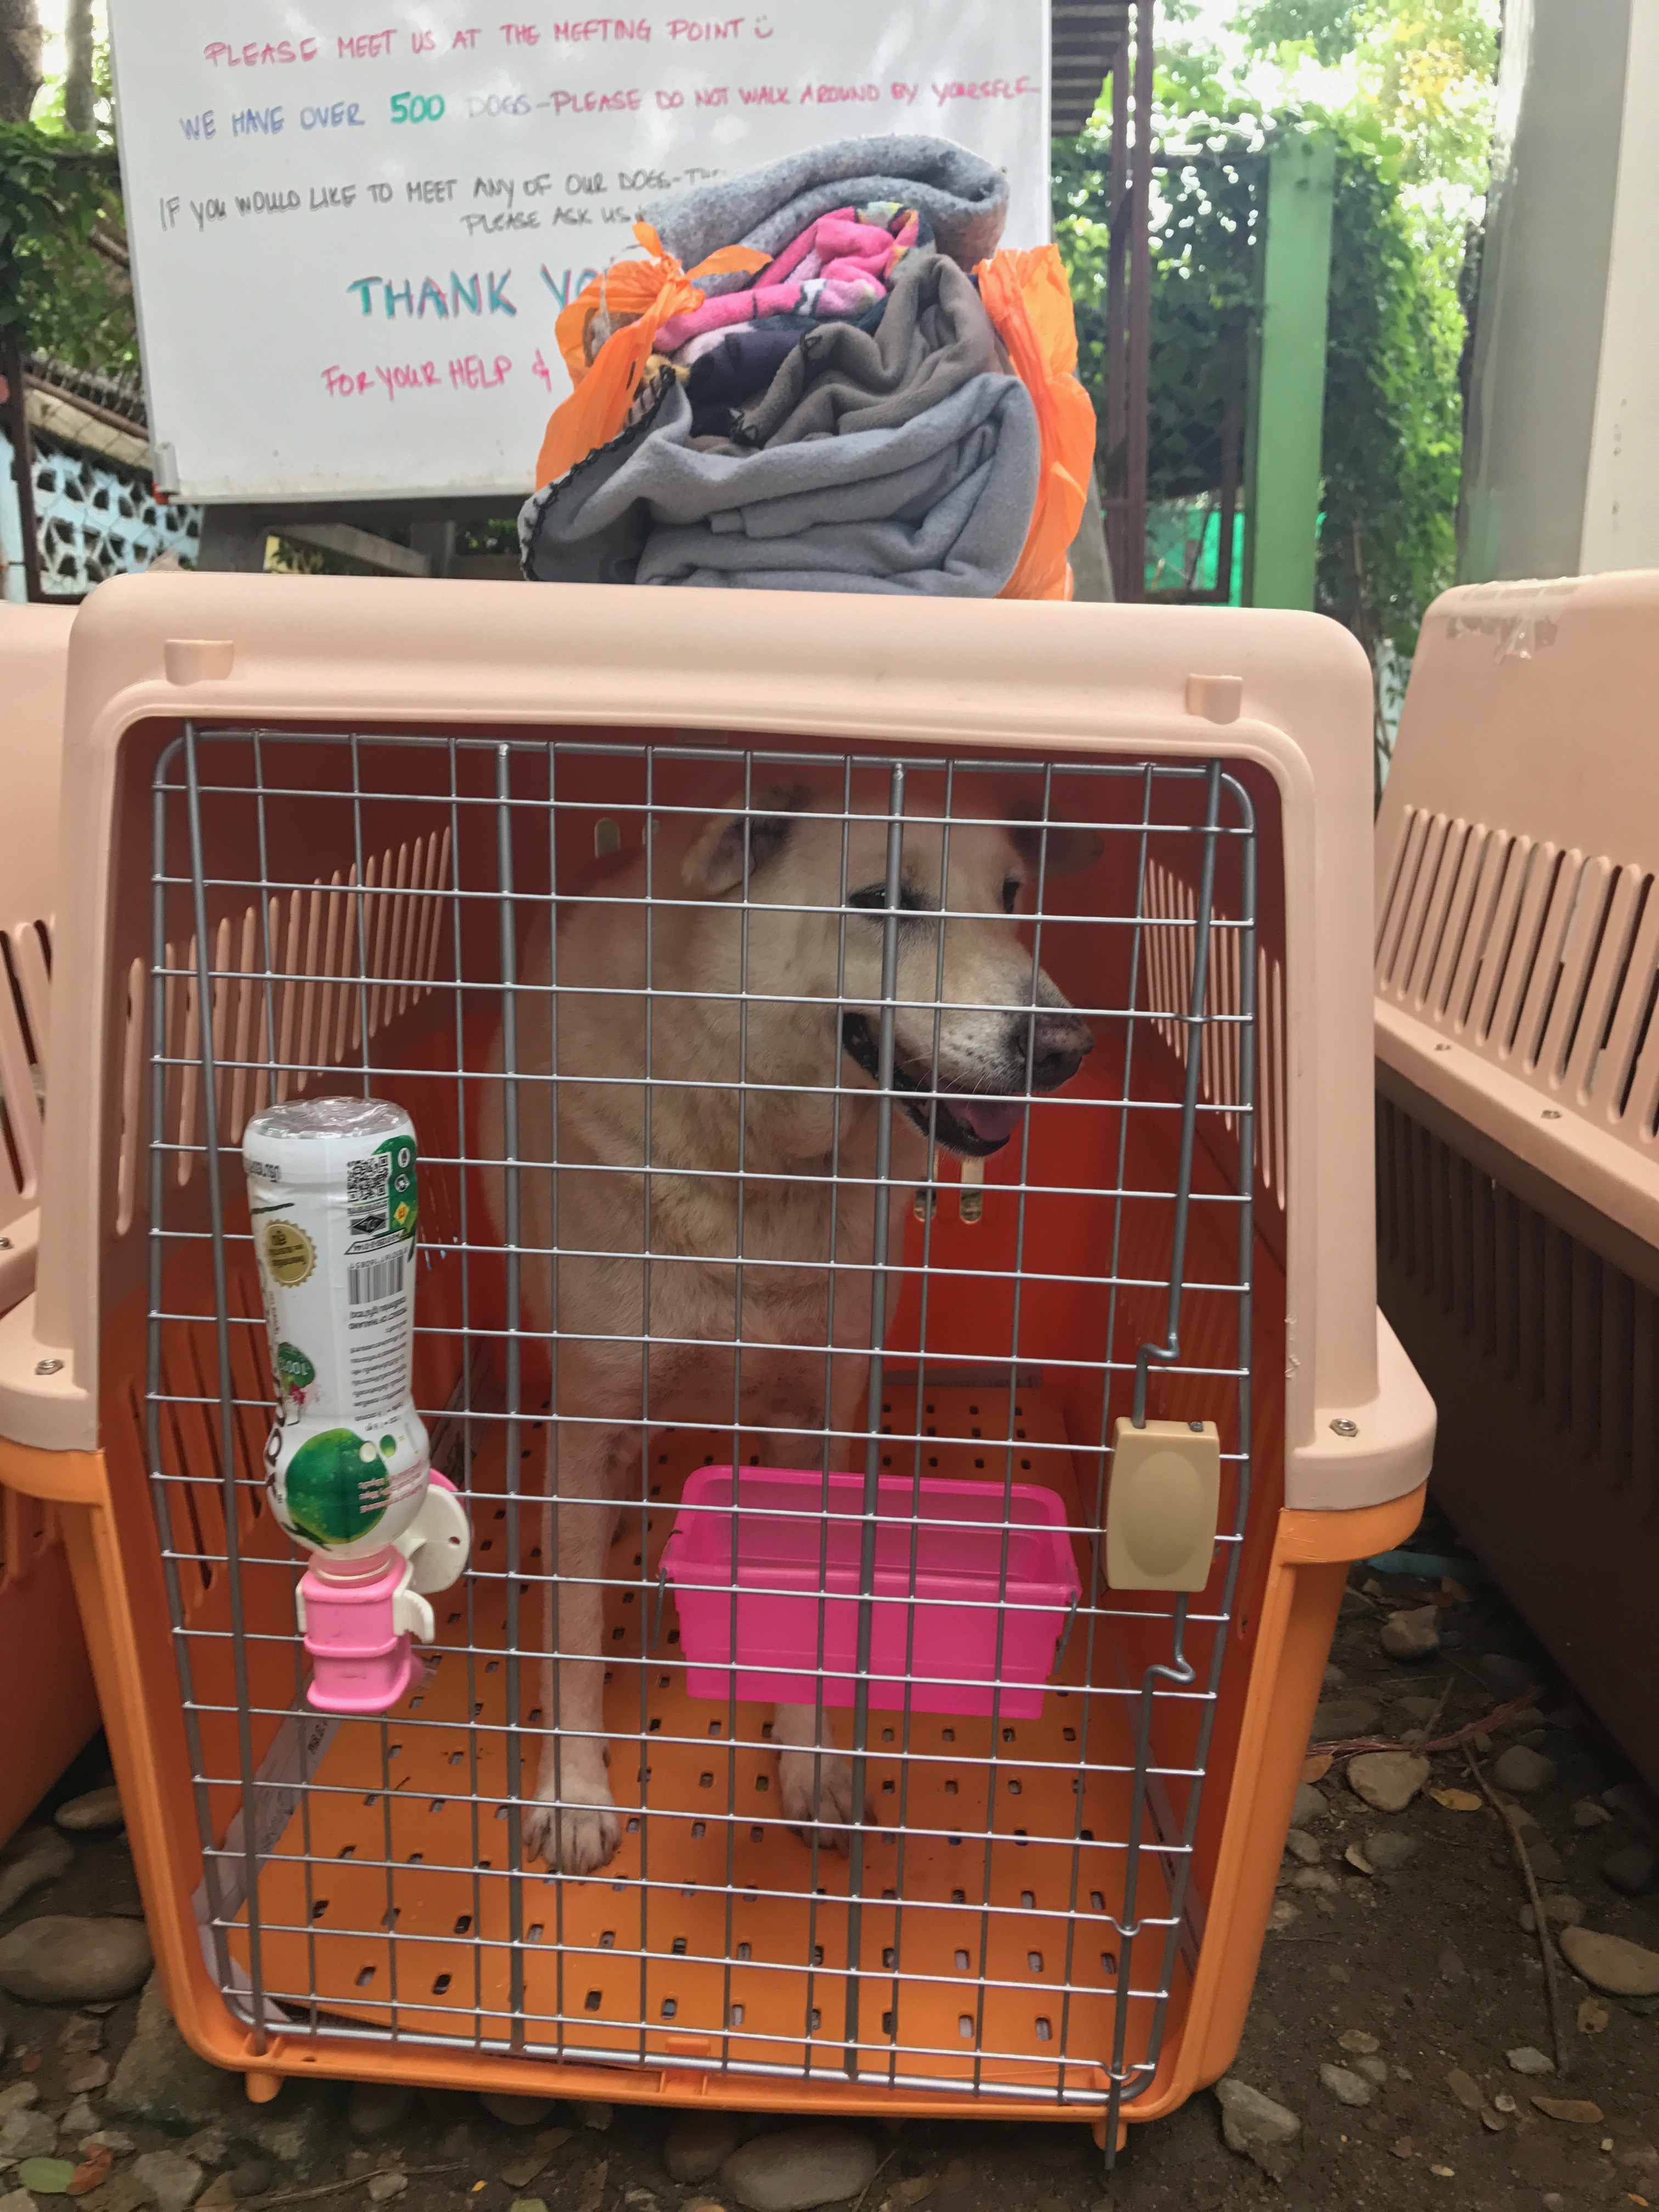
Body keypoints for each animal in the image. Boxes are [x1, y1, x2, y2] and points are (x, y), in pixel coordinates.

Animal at [481, 777, 1099, 1875]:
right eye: (882, 901)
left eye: (1012, 894)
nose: (1066, 1050)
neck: (761, 1159)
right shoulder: (589, 1415)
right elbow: (573, 1629)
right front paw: (573, 1790)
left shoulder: (815, 1418)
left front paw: (813, 1763)